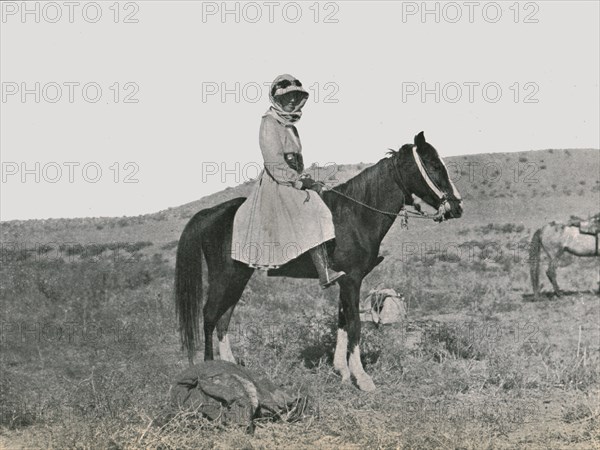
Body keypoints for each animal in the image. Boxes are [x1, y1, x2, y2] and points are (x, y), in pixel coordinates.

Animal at [176, 131, 462, 390]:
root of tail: (210, 213)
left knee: (223, 318)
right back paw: (212, 372)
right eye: (434, 166)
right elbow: (355, 325)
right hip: (225, 276)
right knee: (210, 316)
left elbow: (342, 321)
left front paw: (342, 371)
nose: (457, 207)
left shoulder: (345, 281)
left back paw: (235, 371)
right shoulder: (352, 280)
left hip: (238, 277)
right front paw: (362, 378)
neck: (356, 214)